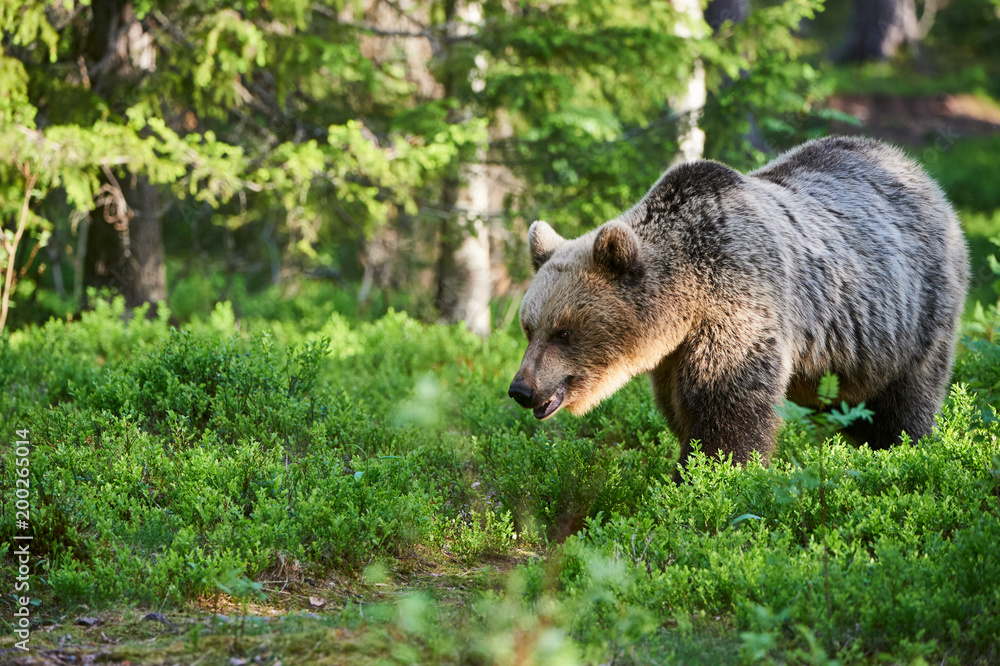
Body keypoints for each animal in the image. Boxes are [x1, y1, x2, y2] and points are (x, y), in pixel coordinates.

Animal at [508, 135, 968, 472]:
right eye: (529, 328)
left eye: (563, 332)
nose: (521, 389)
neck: (686, 301)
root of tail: (918, 172)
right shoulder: (673, 356)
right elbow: (682, 410)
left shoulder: (740, 302)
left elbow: (728, 407)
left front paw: (708, 477)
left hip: (911, 313)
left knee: (905, 400)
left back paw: (905, 450)